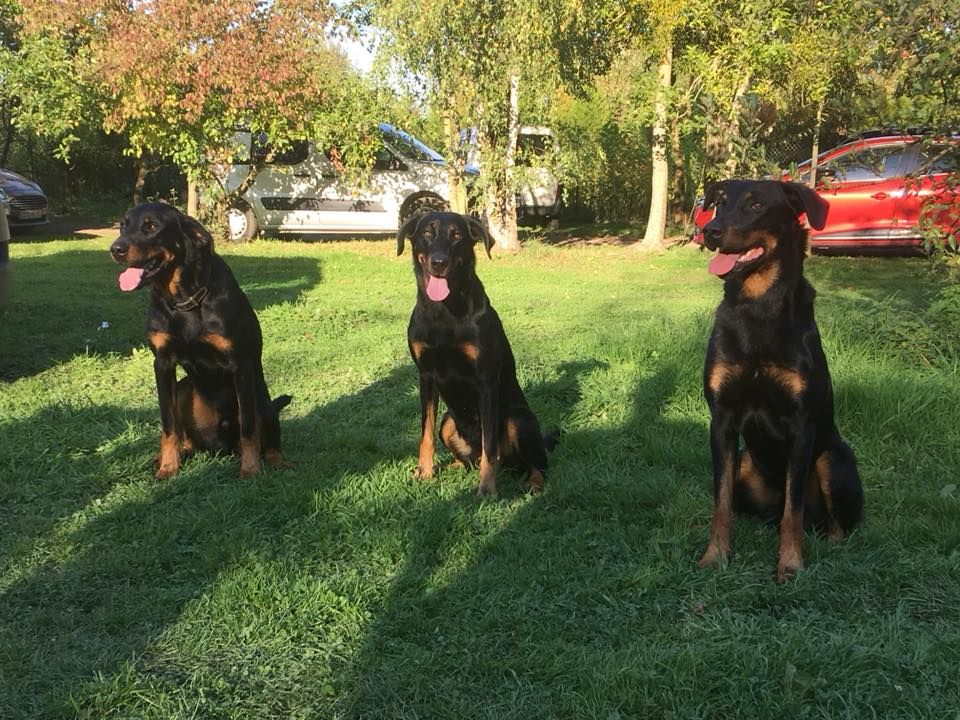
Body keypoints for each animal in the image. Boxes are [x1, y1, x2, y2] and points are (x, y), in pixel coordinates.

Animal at [109, 202, 288, 478]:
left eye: (152, 226)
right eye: (123, 225)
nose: (116, 249)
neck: (185, 300)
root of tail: (221, 448)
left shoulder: (241, 365)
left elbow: (249, 428)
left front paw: (250, 470)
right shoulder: (163, 363)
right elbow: (168, 425)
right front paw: (168, 467)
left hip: (262, 399)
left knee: (266, 436)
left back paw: (277, 461)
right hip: (184, 389)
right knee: (185, 436)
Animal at [396, 211, 548, 498]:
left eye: (457, 235)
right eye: (427, 233)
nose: (439, 262)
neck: (444, 312)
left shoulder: (486, 382)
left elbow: (491, 446)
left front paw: (487, 489)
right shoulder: (426, 377)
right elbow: (425, 433)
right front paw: (425, 473)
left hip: (518, 419)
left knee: (536, 462)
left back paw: (533, 482)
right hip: (448, 422)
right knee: (470, 458)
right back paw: (453, 466)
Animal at [696, 179, 864, 580]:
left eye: (756, 205)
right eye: (719, 203)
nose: (710, 231)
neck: (758, 305)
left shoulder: (801, 425)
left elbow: (794, 509)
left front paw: (790, 563)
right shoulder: (722, 419)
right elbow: (720, 502)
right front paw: (715, 555)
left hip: (833, 458)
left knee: (830, 522)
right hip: (744, 460)